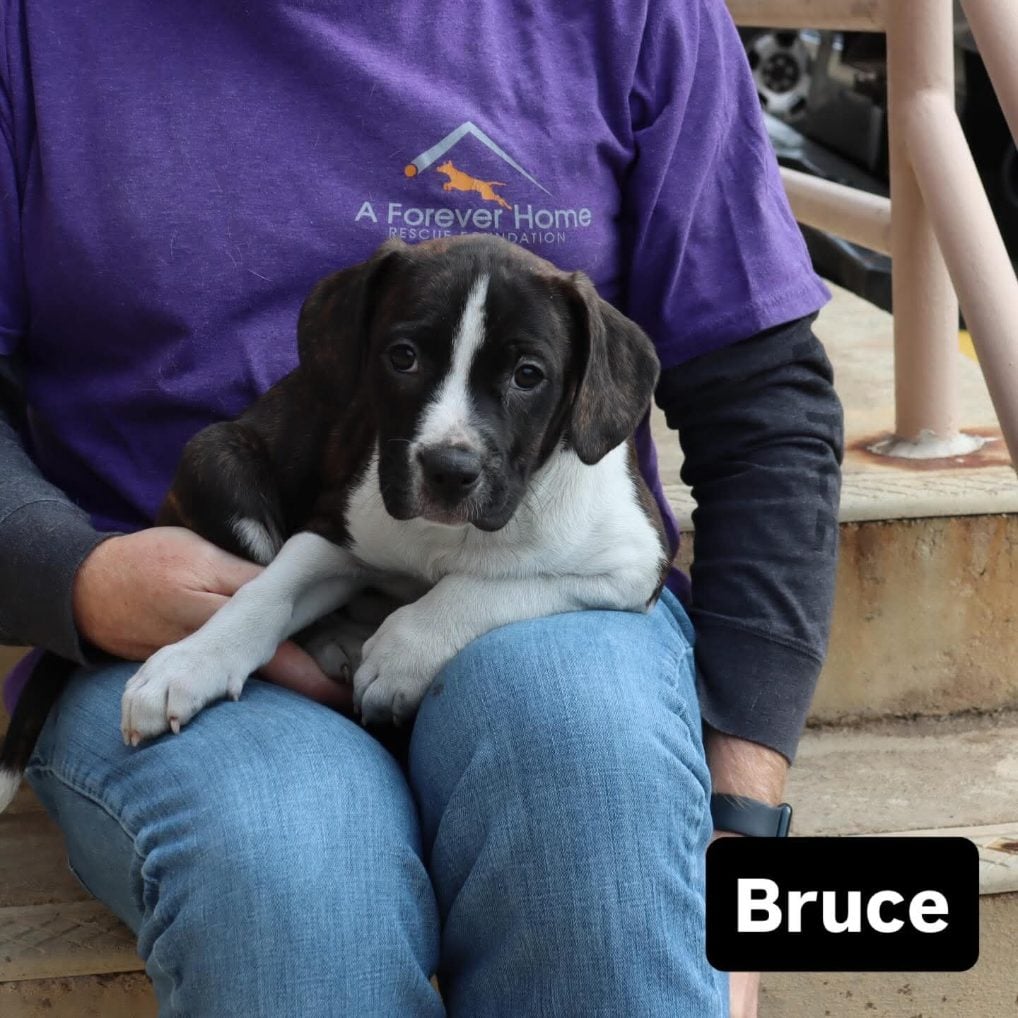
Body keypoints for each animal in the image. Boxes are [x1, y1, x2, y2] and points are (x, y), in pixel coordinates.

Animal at [0, 234, 667, 808]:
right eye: (403, 358)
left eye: (528, 375)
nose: (448, 470)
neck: (449, 533)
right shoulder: (330, 534)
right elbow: (263, 596)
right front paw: (189, 663)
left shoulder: (633, 567)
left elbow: (486, 586)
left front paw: (401, 653)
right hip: (217, 457)